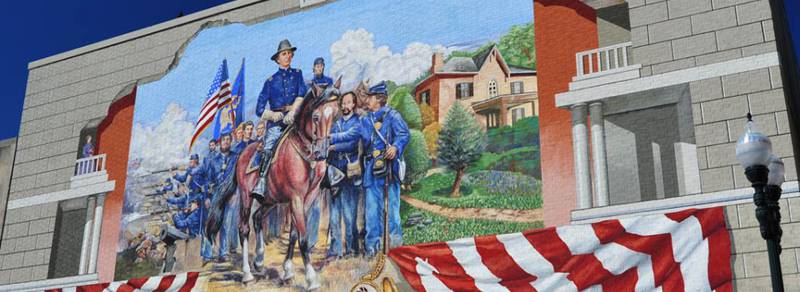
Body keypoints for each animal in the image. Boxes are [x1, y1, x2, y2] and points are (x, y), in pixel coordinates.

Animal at [205, 81, 340, 288]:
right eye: (316, 117)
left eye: (335, 114)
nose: (322, 152)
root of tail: (241, 154)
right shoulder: (296, 198)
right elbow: (303, 237)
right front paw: (311, 279)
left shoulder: (308, 197)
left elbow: (294, 234)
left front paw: (288, 271)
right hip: (246, 196)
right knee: (243, 228)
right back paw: (247, 274)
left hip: (270, 200)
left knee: (258, 218)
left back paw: (259, 261)